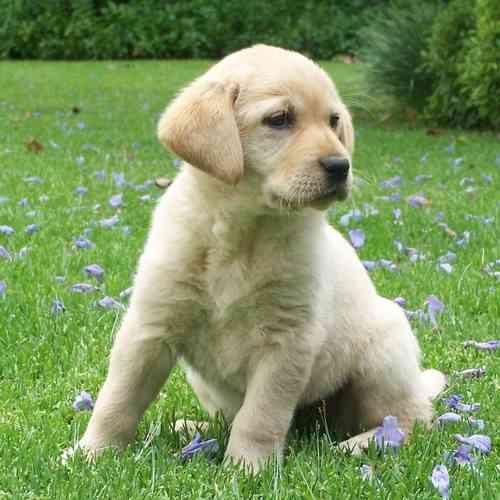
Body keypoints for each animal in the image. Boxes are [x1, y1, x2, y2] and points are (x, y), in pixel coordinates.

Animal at [69, 45, 446, 470]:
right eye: (279, 119)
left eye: (333, 121)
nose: (340, 166)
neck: (244, 229)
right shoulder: (152, 325)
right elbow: (118, 398)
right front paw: (90, 454)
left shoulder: (287, 340)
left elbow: (261, 416)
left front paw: (246, 469)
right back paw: (192, 429)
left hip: (382, 355)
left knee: (410, 419)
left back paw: (363, 444)